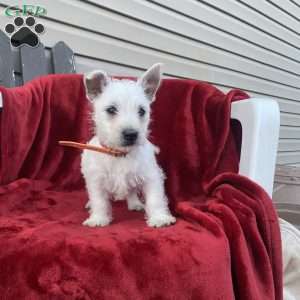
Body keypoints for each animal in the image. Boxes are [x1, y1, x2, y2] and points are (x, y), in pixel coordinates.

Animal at [81, 63, 177, 227]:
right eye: (111, 109)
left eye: (142, 111)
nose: (131, 134)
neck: (120, 154)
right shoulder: (96, 179)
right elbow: (99, 200)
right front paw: (98, 219)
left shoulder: (151, 175)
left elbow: (155, 198)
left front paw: (159, 218)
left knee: (131, 192)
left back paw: (135, 204)